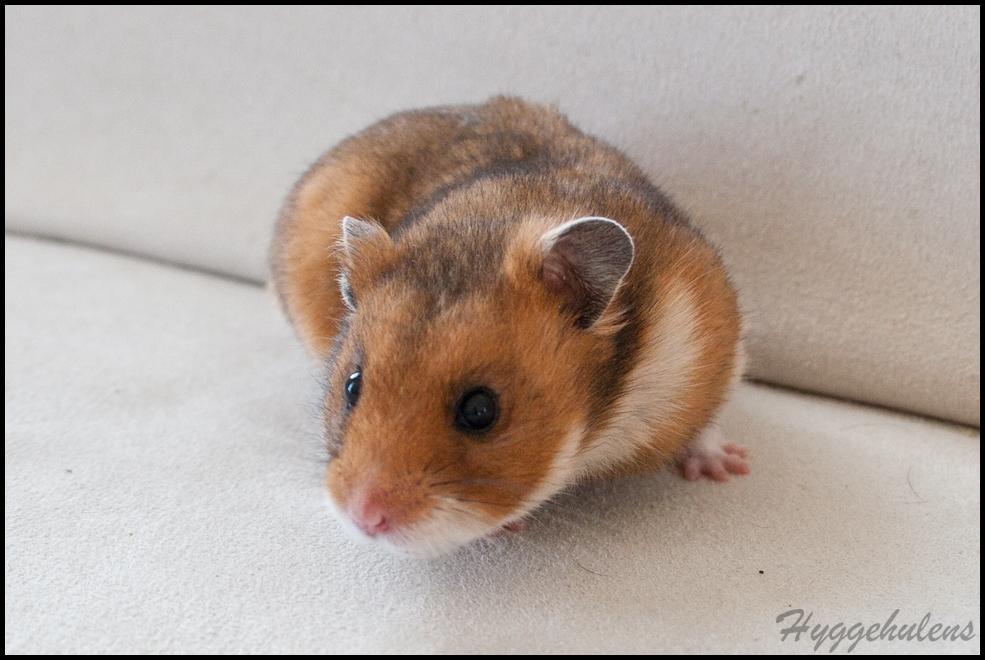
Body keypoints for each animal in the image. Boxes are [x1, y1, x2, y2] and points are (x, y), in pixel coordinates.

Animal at [271, 96, 748, 556]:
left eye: (481, 410)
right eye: (352, 386)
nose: (364, 518)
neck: (600, 425)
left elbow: (706, 420)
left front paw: (729, 468)